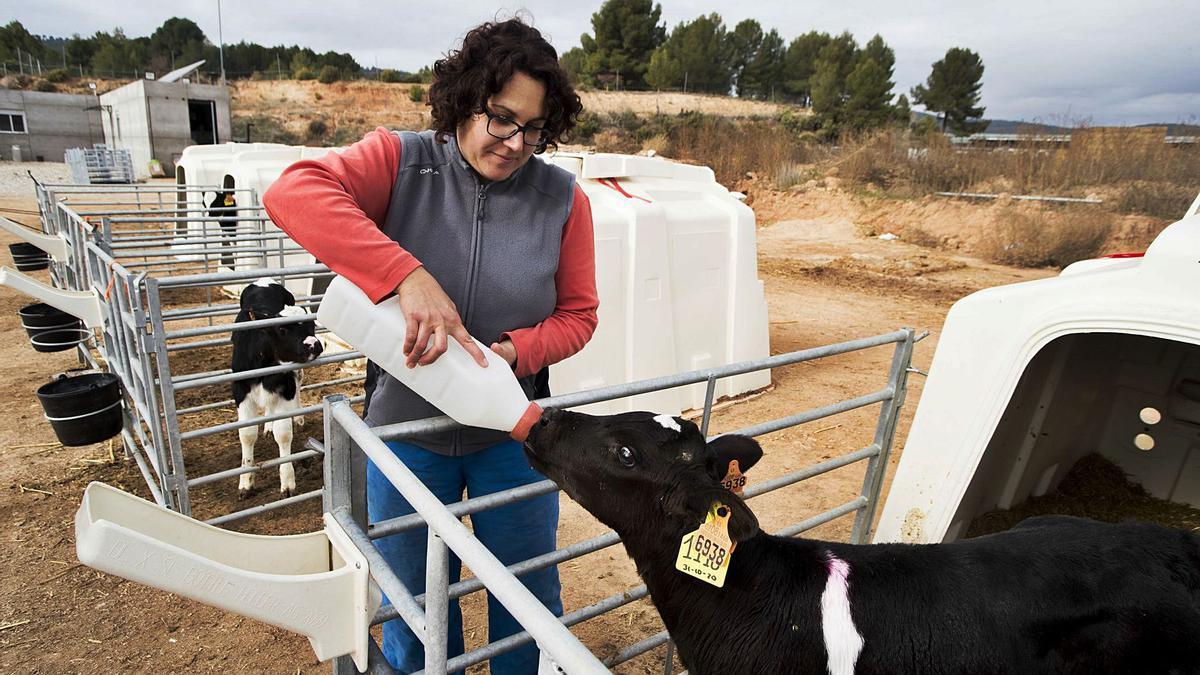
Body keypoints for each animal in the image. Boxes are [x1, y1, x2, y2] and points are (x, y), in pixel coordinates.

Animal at [232, 277, 324, 494]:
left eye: (311, 326)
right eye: (282, 329)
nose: (315, 345)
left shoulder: (285, 387)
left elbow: (283, 434)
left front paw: (288, 481)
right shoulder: (241, 391)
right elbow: (246, 435)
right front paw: (246, 481)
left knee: (298, 381)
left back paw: (297, 417)